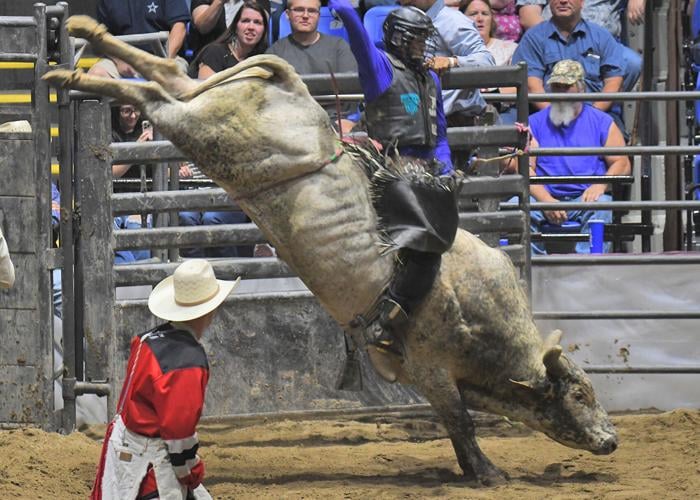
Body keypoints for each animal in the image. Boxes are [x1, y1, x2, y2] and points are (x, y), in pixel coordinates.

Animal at [43, 16, 616, 484]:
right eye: (580, 395)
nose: (611, 439)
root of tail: (296, 95)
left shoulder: (419, 371)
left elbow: (457, 416)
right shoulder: (431, 366)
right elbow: (459, 421)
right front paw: (488, 472)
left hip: (207, 108)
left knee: (168, 72)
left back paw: (82, 42)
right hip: (203, 129)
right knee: (156, 96)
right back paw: (72, 77)